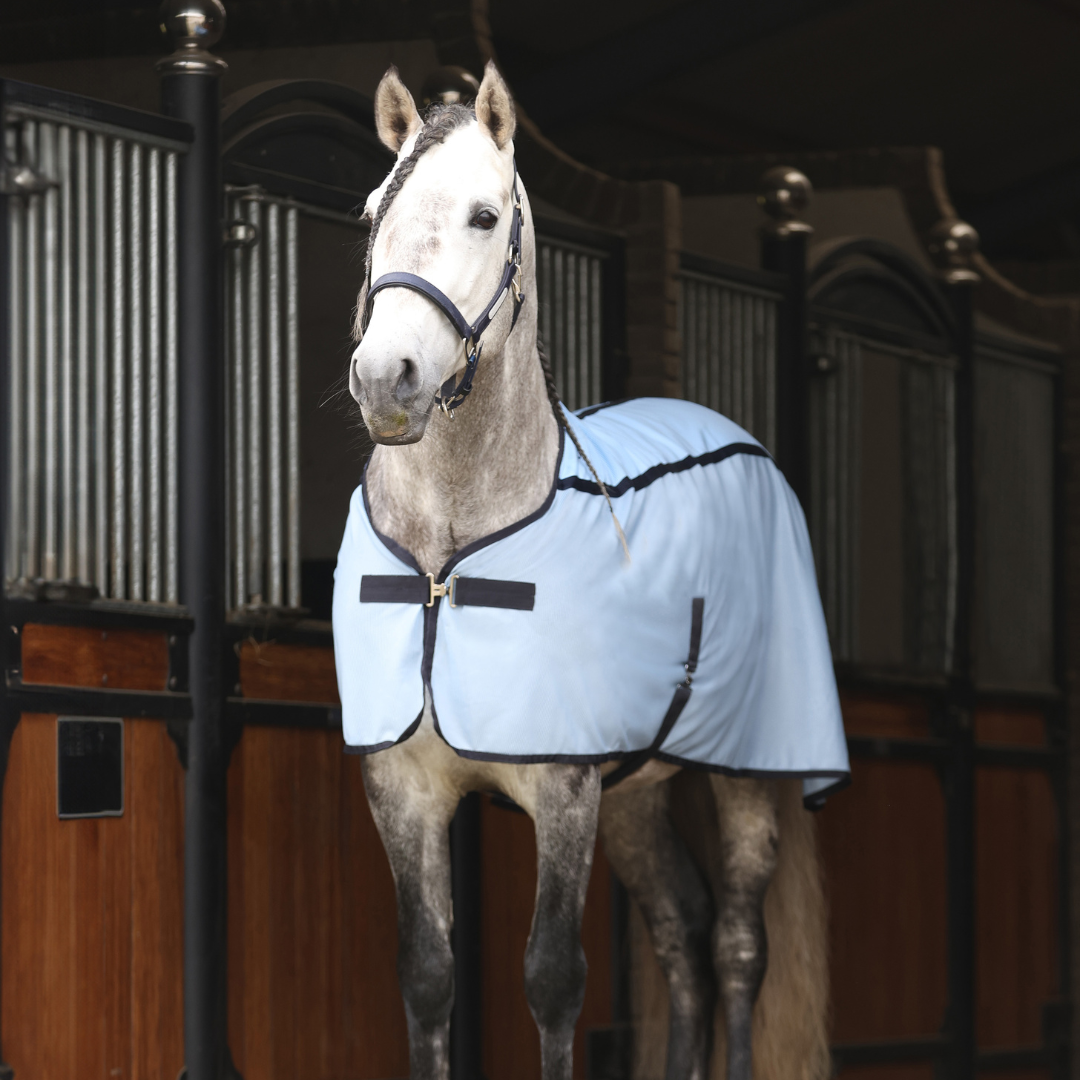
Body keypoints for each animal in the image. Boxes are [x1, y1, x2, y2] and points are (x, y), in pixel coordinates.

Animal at [335, 61, 848, 1080]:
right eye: (373, 210)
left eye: (485, 215)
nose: (385, 378)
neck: (447, 561)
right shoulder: (403, 787)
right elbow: (427, 975)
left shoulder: (564, 788)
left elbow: (551, 979)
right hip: (641, 799)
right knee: (682, 932)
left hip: (742, 774)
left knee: (737, 944)